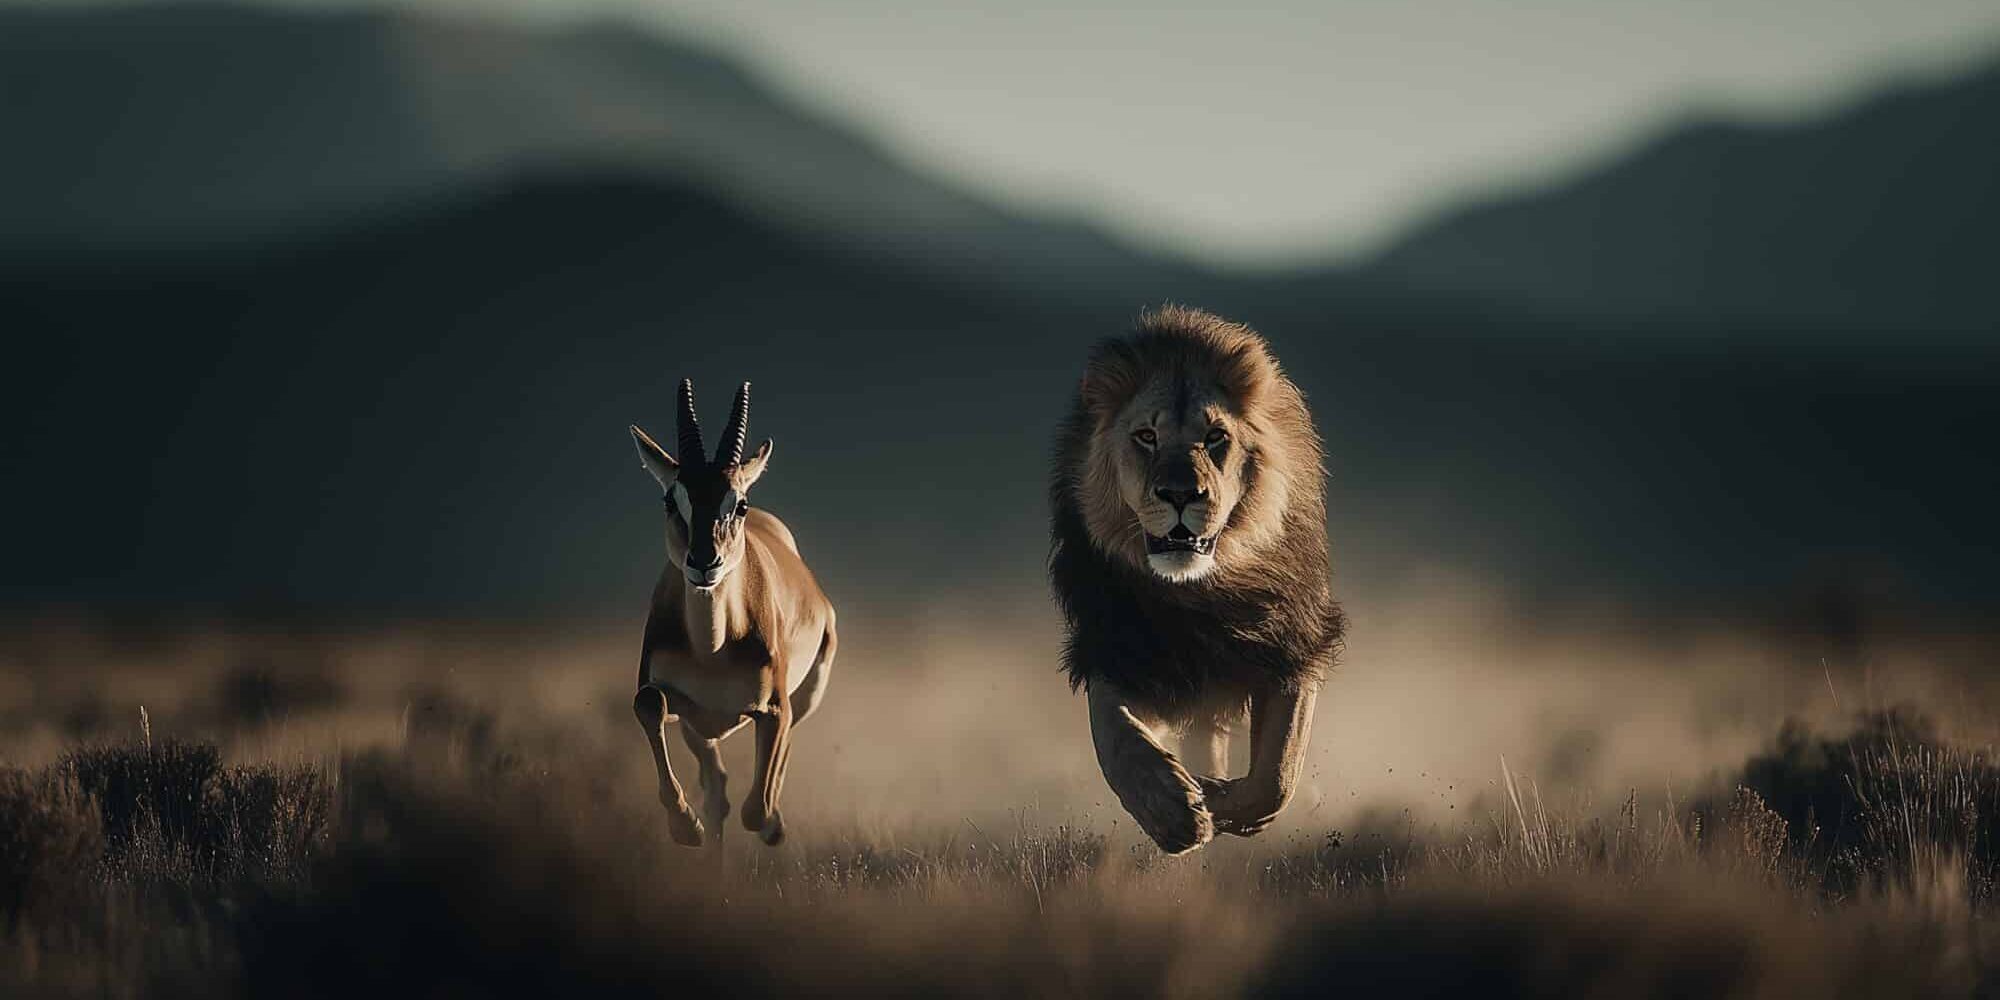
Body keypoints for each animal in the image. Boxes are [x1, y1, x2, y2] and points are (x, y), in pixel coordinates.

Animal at [628, 379, 836, 847]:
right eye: (671, 500)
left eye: (738, 503)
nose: (705, 563)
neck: (713, 650)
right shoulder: (680, 706)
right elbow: (647, 702)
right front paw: (685, 826)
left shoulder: (774, 709)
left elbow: (755, 811)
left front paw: (774, 823)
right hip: (700, 729)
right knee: (717, 791)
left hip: (806, 697)